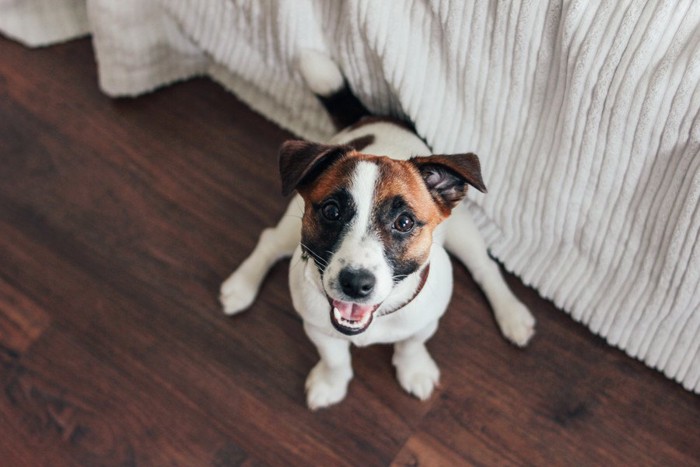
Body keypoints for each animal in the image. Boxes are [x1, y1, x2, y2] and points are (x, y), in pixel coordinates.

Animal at [220, 50, 536, 410]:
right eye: (331, 211)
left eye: (404, 222)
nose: (356, 283)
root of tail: (371, 118)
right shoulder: (317, 327)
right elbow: (334, 358)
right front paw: (331, 383)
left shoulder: (424, 321)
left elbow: (411, 344)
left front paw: (414, 370)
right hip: (290, 226)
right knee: (270, 241)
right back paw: (241, 286)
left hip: (463, 231)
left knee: (485, 267)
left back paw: (512, 315)